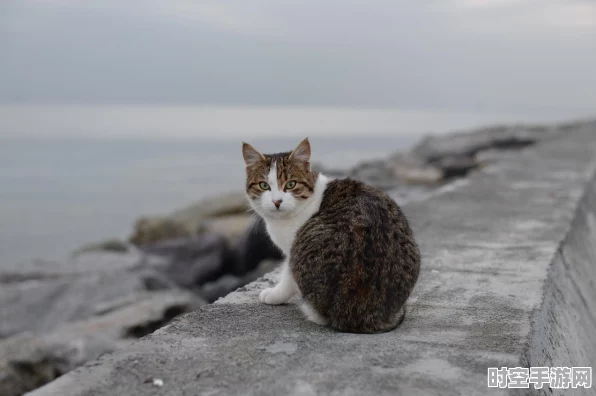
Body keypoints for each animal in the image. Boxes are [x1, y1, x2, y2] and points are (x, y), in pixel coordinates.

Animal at [241, 138, 420, 332]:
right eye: (264, 185)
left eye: (290, 184)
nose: (276, 201)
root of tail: (364, 315)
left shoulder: (291, 250)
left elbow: (288, 278)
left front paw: (275, 294)